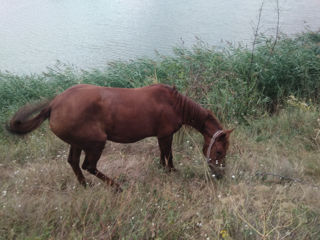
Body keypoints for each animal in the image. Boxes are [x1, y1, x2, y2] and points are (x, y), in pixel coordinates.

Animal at [6, 83, 232, 190]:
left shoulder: (161, 136)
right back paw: (116, 186)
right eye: (219, 151)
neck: (174, 104)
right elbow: (169, 155)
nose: (219, 174)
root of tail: (54, 104)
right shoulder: (166, 135)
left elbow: (162, 154)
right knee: (89, 166)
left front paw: (163, 169)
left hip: (77, 142)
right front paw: (171, 171)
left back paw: (85, 186)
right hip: (96, 142)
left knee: (73, 162)